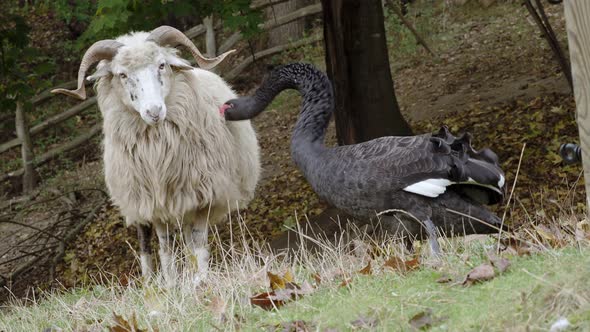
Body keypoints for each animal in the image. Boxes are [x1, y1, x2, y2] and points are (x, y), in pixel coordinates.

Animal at [52, 26, 262, 286]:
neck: (158, 151)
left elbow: (198, 244)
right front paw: (171, 283)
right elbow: (165, 248)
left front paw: (201, 280)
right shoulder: (155, 204)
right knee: (145, 242)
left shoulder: (205, 197)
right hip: (137, 201)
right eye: (122, 74)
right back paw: (149, 280)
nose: (154, 111)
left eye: (162, 65)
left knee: (189, 240)